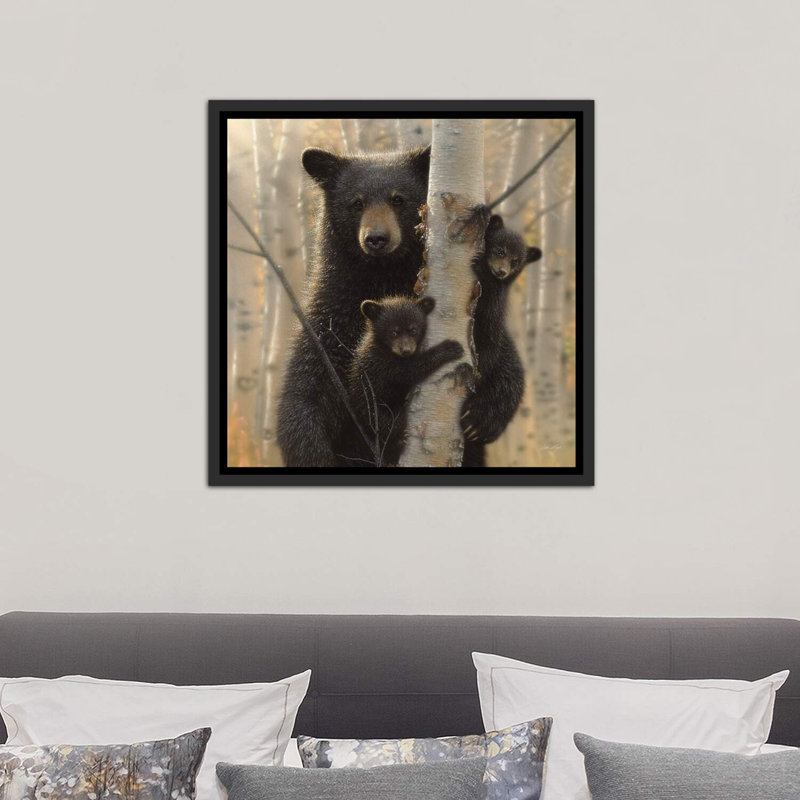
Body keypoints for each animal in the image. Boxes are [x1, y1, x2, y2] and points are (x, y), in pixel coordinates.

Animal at [276, 145, 431, 467]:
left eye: (398, 199)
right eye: (356, 203)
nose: (376, 238)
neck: (381, 278)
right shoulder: (331, 323)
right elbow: (305, 395)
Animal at [339, 296, 464, 467]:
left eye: (413, 330)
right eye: (393, 332)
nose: (405, 350)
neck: (385, 348)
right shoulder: (383, 364)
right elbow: (410, 371)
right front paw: (449, 348)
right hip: (373, 411)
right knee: (390, 424)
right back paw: (397, 441)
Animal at [461, 214, 542, 468]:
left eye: (516, 261)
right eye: (499, 250)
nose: (502, 271)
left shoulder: (493, 310)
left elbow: (488, 342)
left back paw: (477, 423)